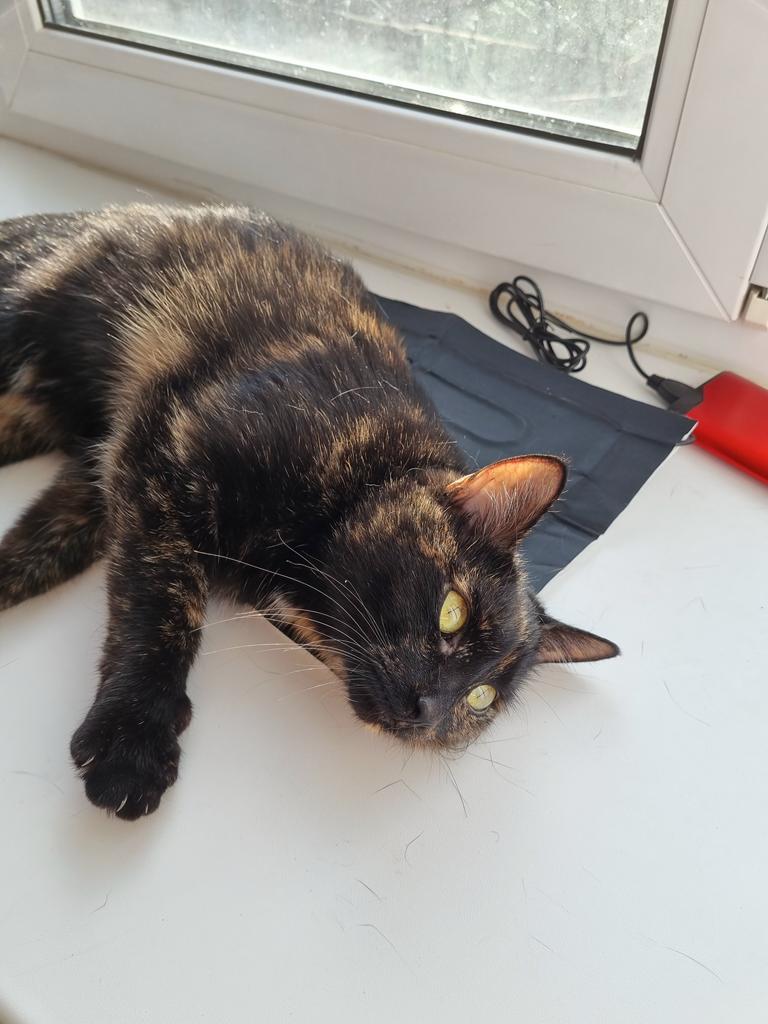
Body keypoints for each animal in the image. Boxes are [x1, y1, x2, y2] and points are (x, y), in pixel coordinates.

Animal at [0, 205, 618, 819]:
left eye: (480, 699)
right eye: (452, 613)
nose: (428, 710)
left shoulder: (103, 473)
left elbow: (42, 551)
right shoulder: (160, 457)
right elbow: (162, 605)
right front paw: (133, 739)